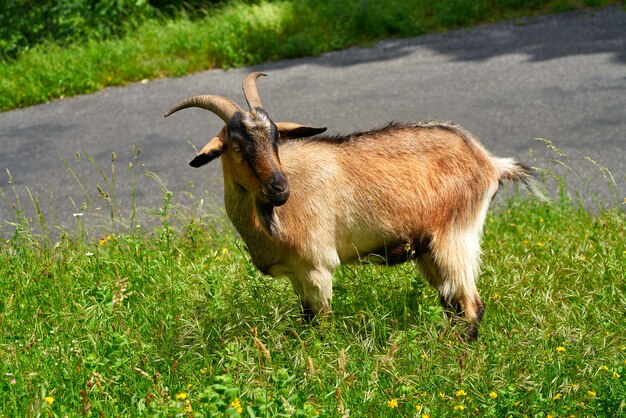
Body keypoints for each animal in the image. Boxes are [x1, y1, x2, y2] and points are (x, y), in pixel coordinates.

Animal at [163, 72, 544, 340]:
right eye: (237, 145)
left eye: (275, 139)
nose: (279, 189)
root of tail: (489, 162)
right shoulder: (297, 274)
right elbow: (305, 322)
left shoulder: (317, 267)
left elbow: (321, 326)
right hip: (428, 250)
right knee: (453, 304)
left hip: (455, 237)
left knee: (471, 306)